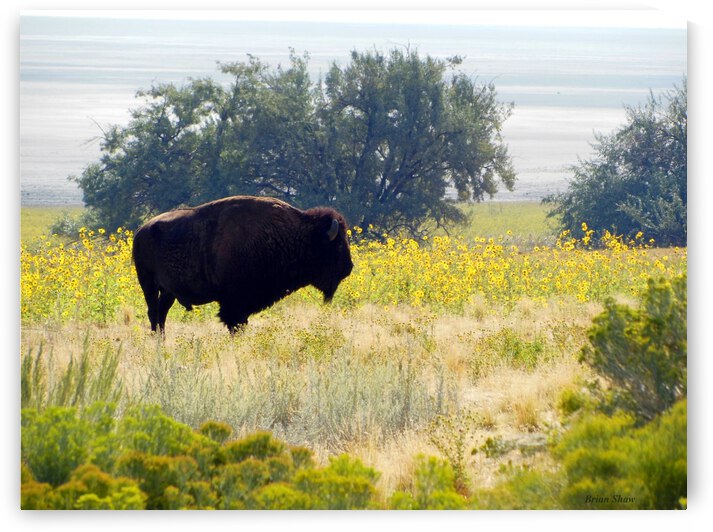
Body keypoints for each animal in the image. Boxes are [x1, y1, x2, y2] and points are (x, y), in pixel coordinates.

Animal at [132, 195, 353, 333]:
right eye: (337, 245)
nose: (348, 268)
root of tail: (141, 230)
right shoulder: (234, 303)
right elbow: (235, 323)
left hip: (168, 291)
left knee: (161, 314)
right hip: (148, 283)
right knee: (153, 312)